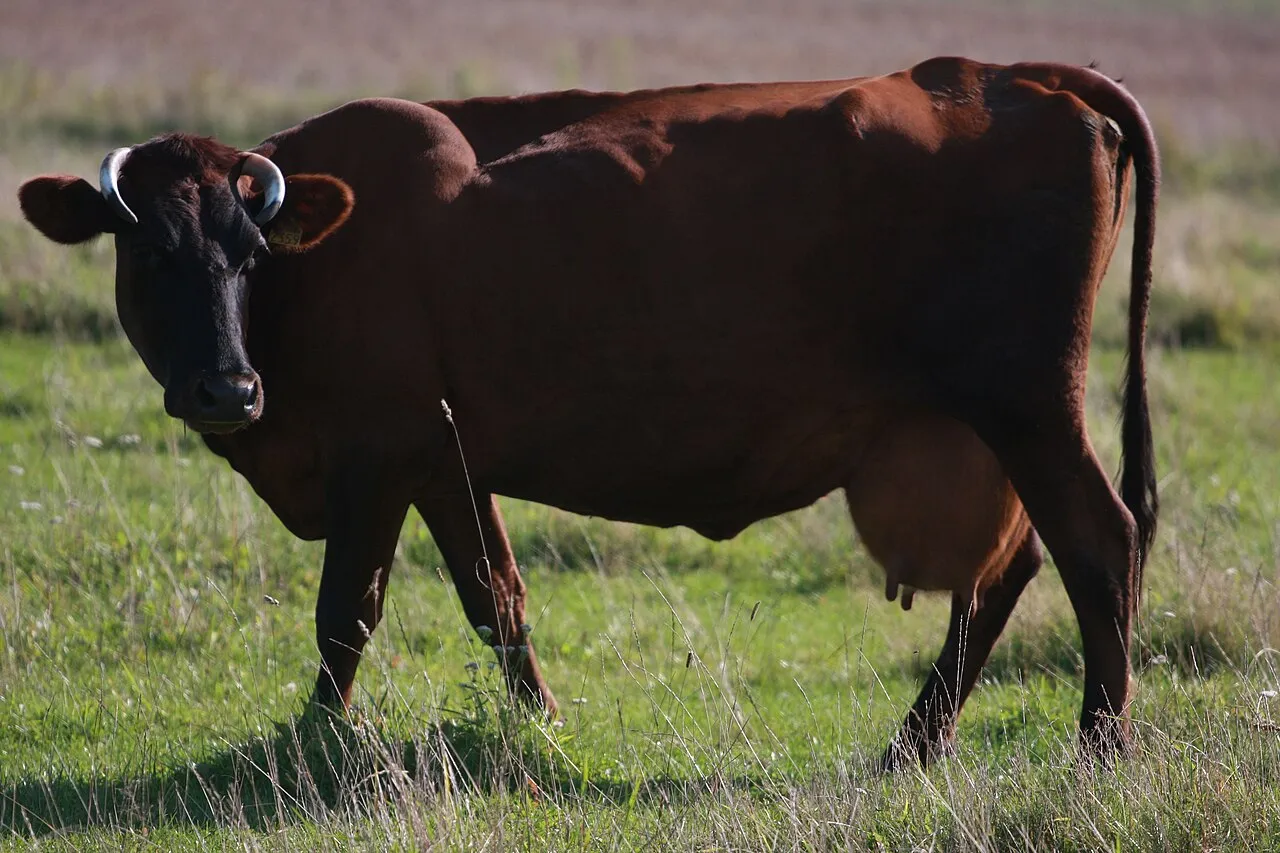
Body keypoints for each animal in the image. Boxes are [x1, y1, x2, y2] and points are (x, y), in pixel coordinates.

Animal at [18, 56, 1158, 769]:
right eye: (148, 249)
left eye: (251, 253)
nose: (227, 389)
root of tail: (1008, 73)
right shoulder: (444, 461)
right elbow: (496, 596)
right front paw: (544, 723)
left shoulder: (374, 457)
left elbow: (346, 608)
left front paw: (312, 739)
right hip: (997, 426)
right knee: (1009, 566)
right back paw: (915, 741)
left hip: (1028, 407)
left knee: (1097, 542)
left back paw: (1098, 744)